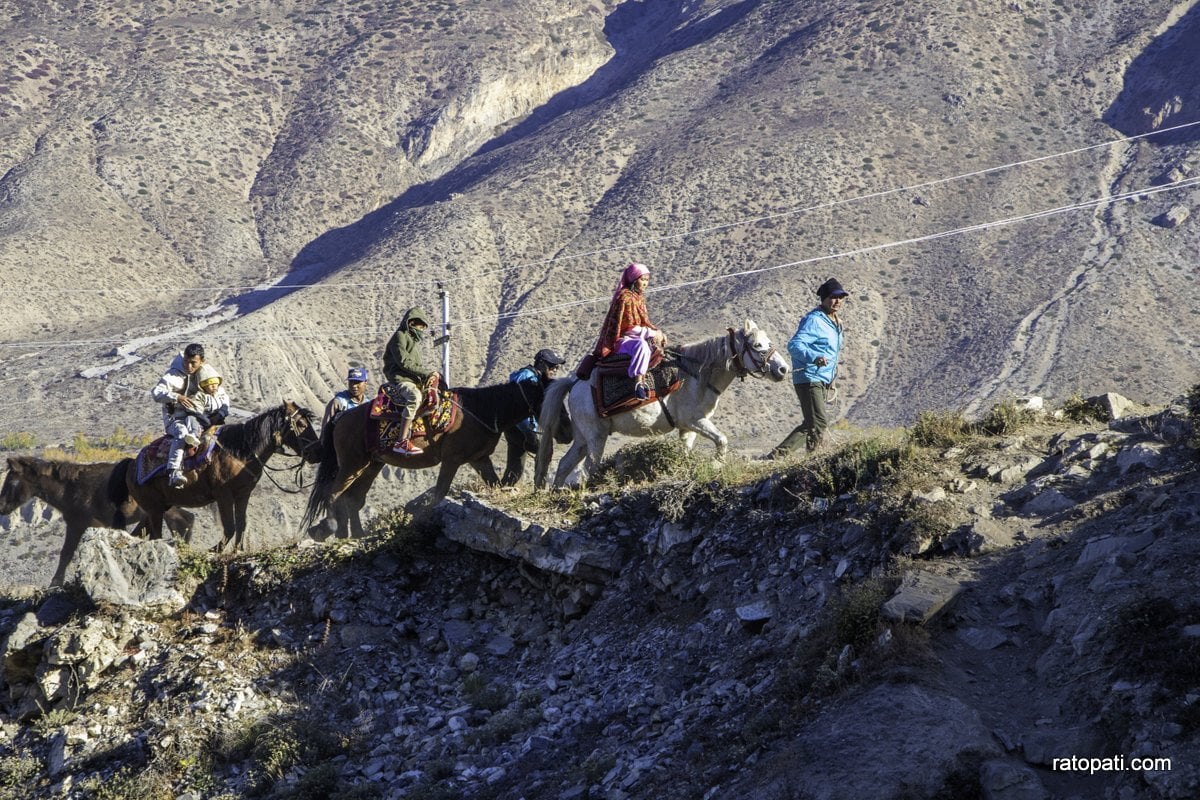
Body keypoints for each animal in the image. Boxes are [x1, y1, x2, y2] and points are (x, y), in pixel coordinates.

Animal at [1, 455, 194, 587]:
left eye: (11, 482)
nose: (2, 508)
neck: (69, 488)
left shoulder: (76, 524)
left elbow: (66, 554)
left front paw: (55, 583)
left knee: (183, 522)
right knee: (184, 522)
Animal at [119, 402, 316, 554]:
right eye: (300, 423)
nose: (317, 451)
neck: (240, 452)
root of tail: (132, 464)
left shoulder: (243, 494)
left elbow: (241, 524)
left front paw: (238, 550)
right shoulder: (224, 495)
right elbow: (229, 527)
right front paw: (215, 550)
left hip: (157, 508)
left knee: (139, 533)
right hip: (154, 509)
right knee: (155, 535)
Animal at [307, 381, 554, 542]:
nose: (535, 441)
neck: (481, 409)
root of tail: (340, 418)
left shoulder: (480, 459)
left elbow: (493, 483)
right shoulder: (452, 459)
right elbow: (440, 491)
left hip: (372, 465)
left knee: (353, 498)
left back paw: (356, 534)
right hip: (352, 464)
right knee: (333, 493)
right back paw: (332, 530)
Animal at [535, 319, 787, 489]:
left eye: (767, 342)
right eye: (757, 345)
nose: (783, 369)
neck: (696, 374)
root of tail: (575, 382)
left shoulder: (689, 428)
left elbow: (686, 451)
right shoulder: (696, 421)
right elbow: (722, 440)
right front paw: (717, 466)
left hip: (582, 438)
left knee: (564, 464)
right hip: (596, 436)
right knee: (588, 468)